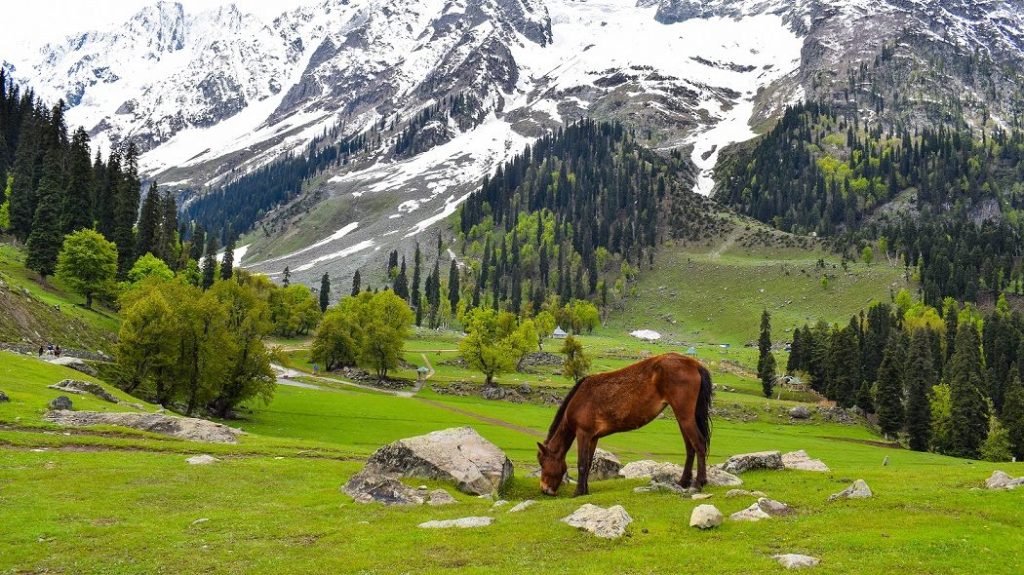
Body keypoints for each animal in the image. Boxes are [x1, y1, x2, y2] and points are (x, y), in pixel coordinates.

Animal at [536, 351, 712, 495]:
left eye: (543, 463)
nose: (544, 489)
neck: (580, 399)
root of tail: (694, 364)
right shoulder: (593, 438)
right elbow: (588, 463)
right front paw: (585, 490)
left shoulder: (583, 434)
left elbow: (582, 463)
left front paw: (578, 492)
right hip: (682, 418)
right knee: (690, 447)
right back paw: (683, 482)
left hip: (685, 416)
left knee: (699, 444)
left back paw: (698, 483)